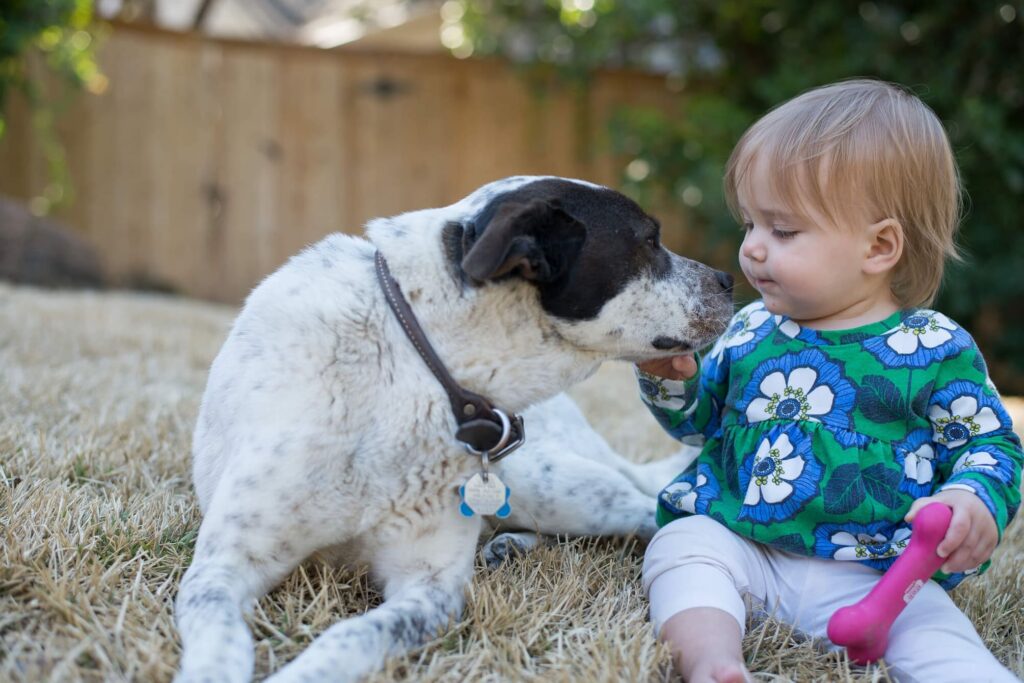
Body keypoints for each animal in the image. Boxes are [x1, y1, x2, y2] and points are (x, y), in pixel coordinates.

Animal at [178, 178, 737, 683]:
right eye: (649, 240)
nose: (729, 279)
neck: (415, 361)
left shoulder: (430, 587)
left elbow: (350, 635)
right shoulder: (221, 567)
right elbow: (218, 644)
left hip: (552, 485)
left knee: (649, 519)